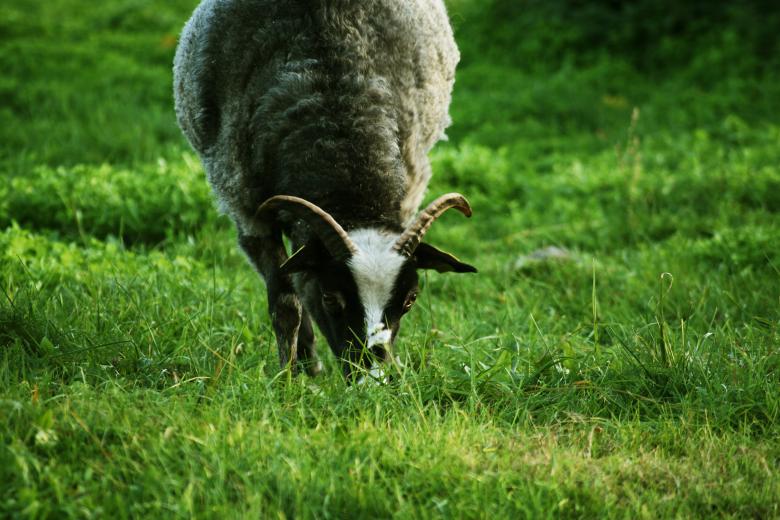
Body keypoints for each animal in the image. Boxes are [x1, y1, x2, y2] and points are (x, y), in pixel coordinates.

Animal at [173, 0, 476, 380]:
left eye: (410, 300)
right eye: (330, 298)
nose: (372, 375)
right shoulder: (249, 213)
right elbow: (286, 303)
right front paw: (288, 379)